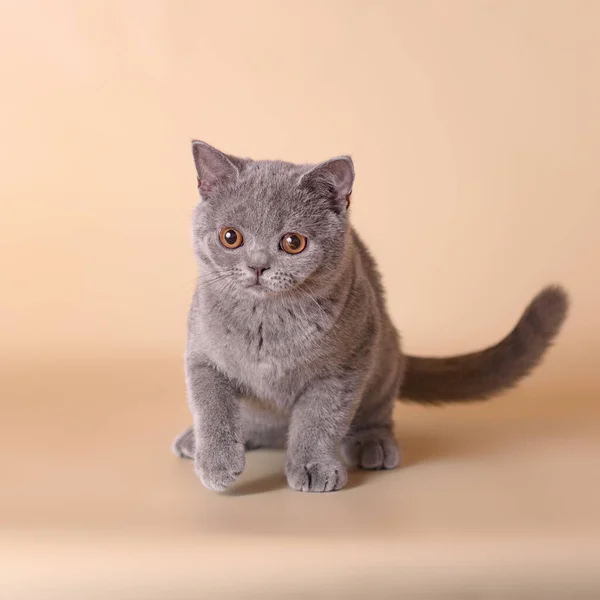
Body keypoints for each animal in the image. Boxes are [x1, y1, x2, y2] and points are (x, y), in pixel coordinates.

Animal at [171, 141, 568, 492]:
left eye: (293, 243)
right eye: (230, 237)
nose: (257, 266)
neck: (267, 323)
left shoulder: (345, 365)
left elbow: (320, 418)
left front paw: (313, 466)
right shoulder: (201, 355)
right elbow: (211, 407)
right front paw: (216, 463)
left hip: (385, 354)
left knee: (375, 413)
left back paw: (372, 444)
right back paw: (197, 442)